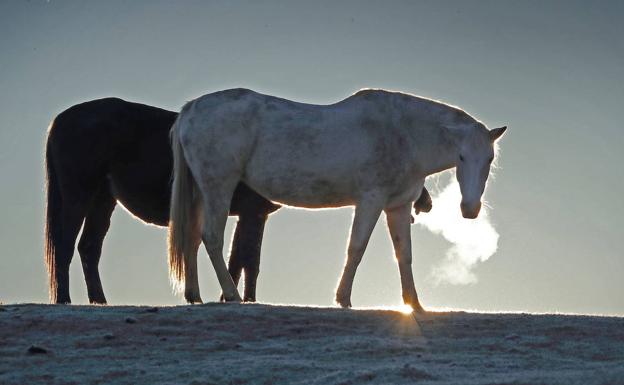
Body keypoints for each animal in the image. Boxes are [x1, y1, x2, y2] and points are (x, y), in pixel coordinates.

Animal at [45, 97, 434, 304]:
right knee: (65, 243)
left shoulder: (254, 215)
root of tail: (62, 119)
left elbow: (248, 259)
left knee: (89, 247)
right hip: (81, 193)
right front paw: (234, 297)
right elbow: (244, 258)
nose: (425, 203)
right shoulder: (252, 213)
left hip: (103, 199)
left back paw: (100, 300)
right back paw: (65, 299)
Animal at [167, 87, 508, 308]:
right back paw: (232, 296)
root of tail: (192, 108)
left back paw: (194, 295)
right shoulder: (371, 200)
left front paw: (414, 304)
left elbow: (404, 255)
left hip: (202, 191)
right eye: (461, 156)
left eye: (490, 159)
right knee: (211, 238)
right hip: (218, 187)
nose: (470, 208)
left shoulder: (397, 207)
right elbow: (356, 248)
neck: (404, 134)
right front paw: (343, 298)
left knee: (193, 237)